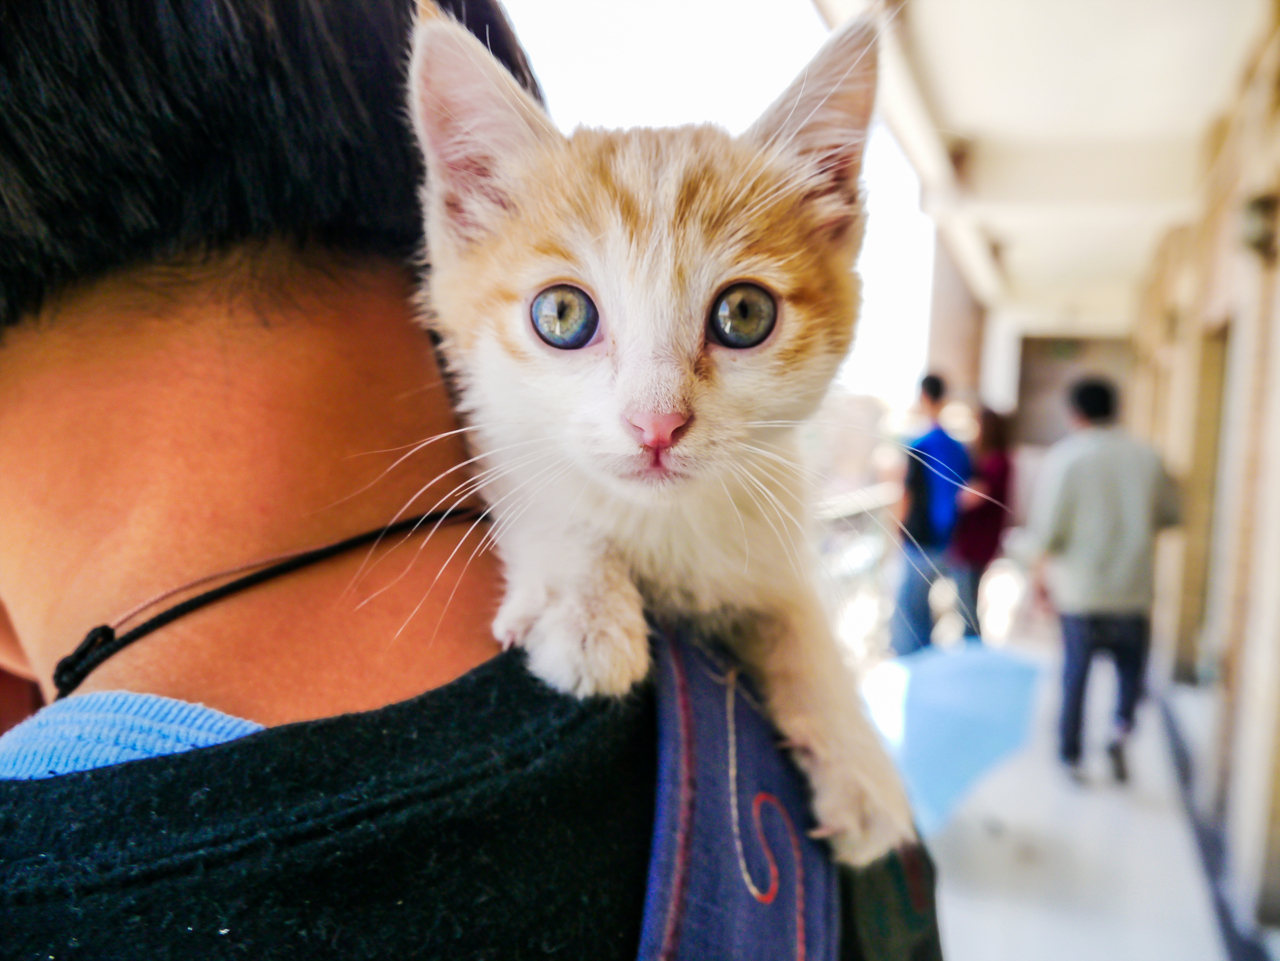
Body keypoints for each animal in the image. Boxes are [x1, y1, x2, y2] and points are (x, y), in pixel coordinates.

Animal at [404, 9, 916, 865]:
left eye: (744, 314)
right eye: (562, 314)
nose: (657, 424)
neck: (665, 524)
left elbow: (797, 612)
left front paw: (856, 757)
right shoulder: (481, 420)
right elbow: (535, 479)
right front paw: (583, 605)